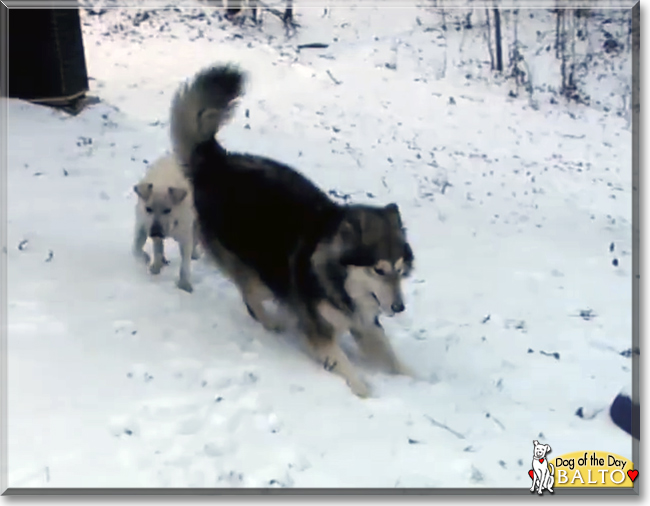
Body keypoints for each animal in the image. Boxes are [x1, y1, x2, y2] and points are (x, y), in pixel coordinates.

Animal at [132, 153, 200, 292]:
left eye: (168, 210)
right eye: (148, 209)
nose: (155, 232)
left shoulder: (185, 234)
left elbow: (185, 264)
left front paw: (184, 285)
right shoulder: (143, 224)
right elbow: (137, 249)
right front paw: (149, 261)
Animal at [171, 64, 416, 396]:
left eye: (400, 270)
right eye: (379, 270)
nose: (399, 307)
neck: (338, 279)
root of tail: (218, 160)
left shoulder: (365, 322)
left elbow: (396, 361)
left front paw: (424, 380)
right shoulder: (320, 330)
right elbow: (348, 370)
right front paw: (365, 392)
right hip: (261, 274)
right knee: (251, 298)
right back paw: (274, 323)